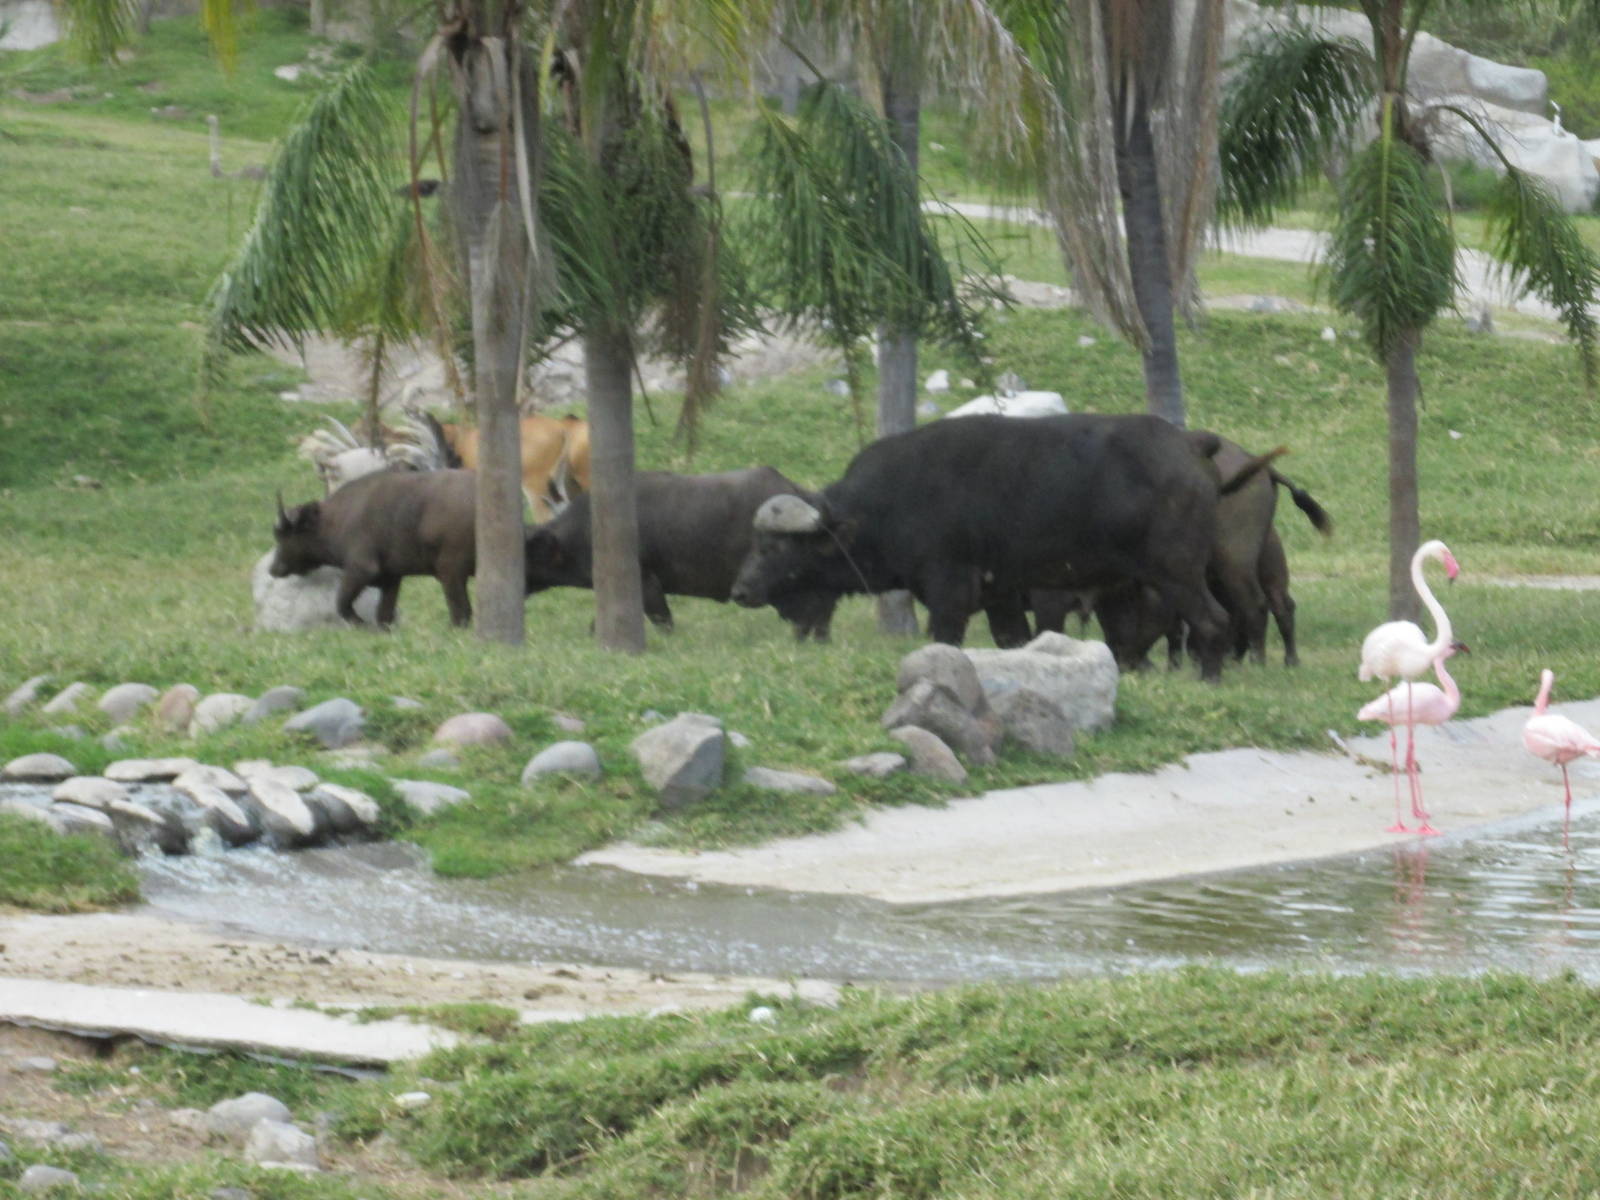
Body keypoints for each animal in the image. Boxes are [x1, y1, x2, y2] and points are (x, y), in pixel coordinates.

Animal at [271, 468, 478, 628]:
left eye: (283, 534)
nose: (273, 569)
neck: (338, 519)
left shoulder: (361, 569)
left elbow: (342, 603)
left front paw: (360, 624)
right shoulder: (391, 579)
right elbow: (383, 616)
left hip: (450, 572)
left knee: (461, 611)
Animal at [729, 414, 1276, 680]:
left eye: (773, 547)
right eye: (754, 541)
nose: (740, 591)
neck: (886, 502)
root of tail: (1189, 447)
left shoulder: (949, 589)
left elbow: (944, 637)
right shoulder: (1002, 596)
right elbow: (1012, 640)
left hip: (1178, 572)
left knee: (1215, 621)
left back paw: (1209, 677)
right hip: (1131, 584)